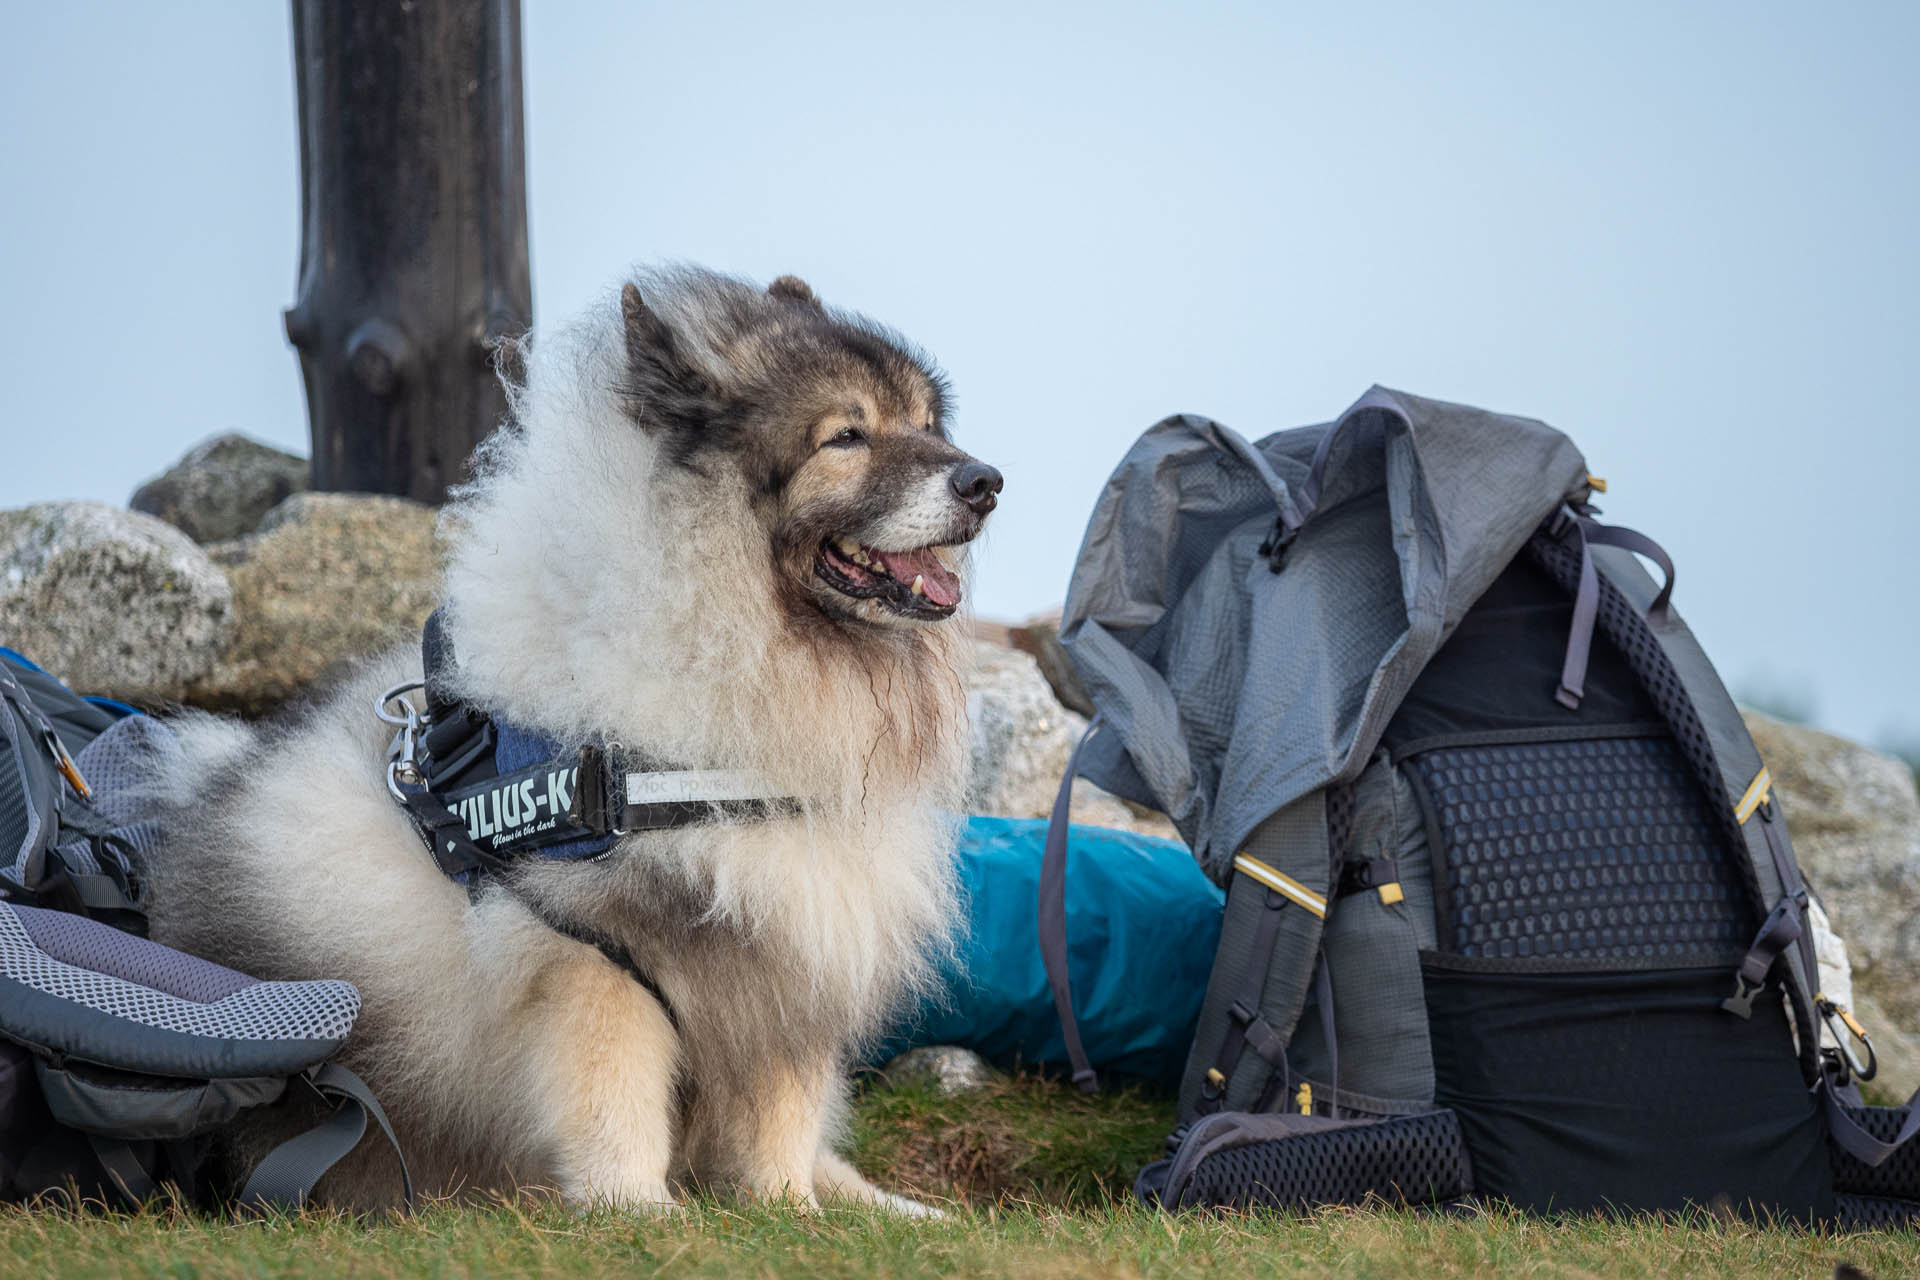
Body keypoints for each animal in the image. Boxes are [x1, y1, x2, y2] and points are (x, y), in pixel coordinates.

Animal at [145, 268, 1006, 1212]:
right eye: (846, 436)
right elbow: (613, 1096)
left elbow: (783, 1120)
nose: (986, 480)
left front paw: (794, 1213)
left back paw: (900, 1208)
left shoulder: (792, 951)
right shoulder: (595, 953)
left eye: (926, 425)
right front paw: (637, 1212)